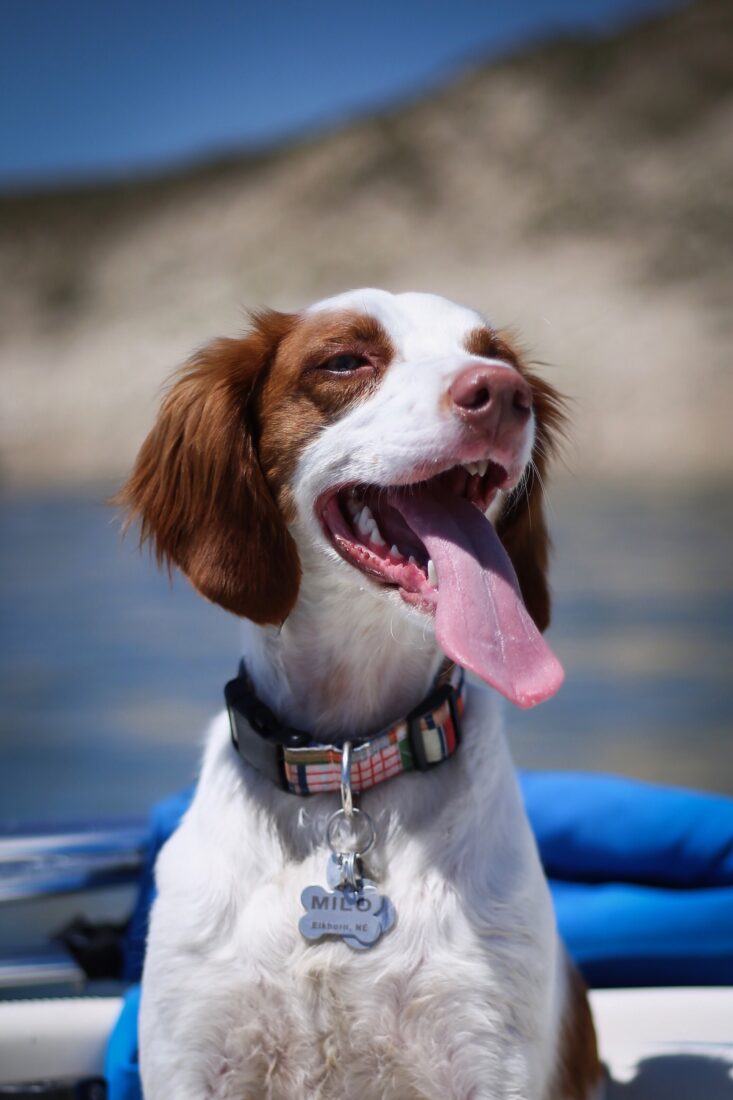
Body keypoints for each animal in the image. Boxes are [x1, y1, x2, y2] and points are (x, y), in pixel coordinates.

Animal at [121, 288, 598, 1095]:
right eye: (345, 359)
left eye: (493, 355)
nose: (503, 394)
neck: (347, 760)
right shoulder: (190, 1054)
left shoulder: (484, 1052)